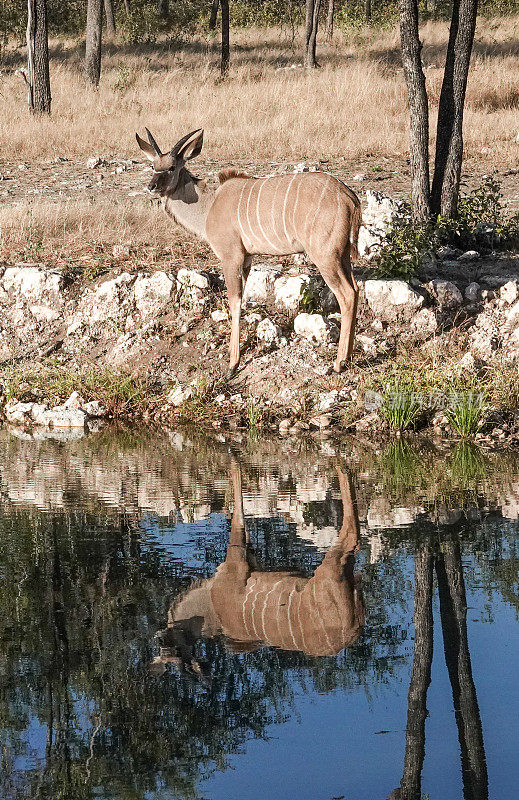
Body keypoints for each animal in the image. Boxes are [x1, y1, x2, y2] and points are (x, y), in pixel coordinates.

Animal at [136, 127, 362, 376]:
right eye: (153, 166)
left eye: (172, 167)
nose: (152, 186)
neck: (209, 205)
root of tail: (350, 198)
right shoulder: (246, 259)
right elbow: (242, 300)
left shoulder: (231, 257)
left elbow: (234, 302)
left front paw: (232, 364)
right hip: (342, 256)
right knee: (355, 290)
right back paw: (349, 356)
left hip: (325, 257)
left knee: (346, 294)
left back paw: (339, 363)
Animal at [151, 460, 366, 680]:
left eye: (174, 651)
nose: (159, 637)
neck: (211, 604)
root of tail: (353, 627)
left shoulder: (236, 561)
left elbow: (237, 503)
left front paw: (235, 458)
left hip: (331, 569)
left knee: (350, 532)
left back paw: (340, 464)